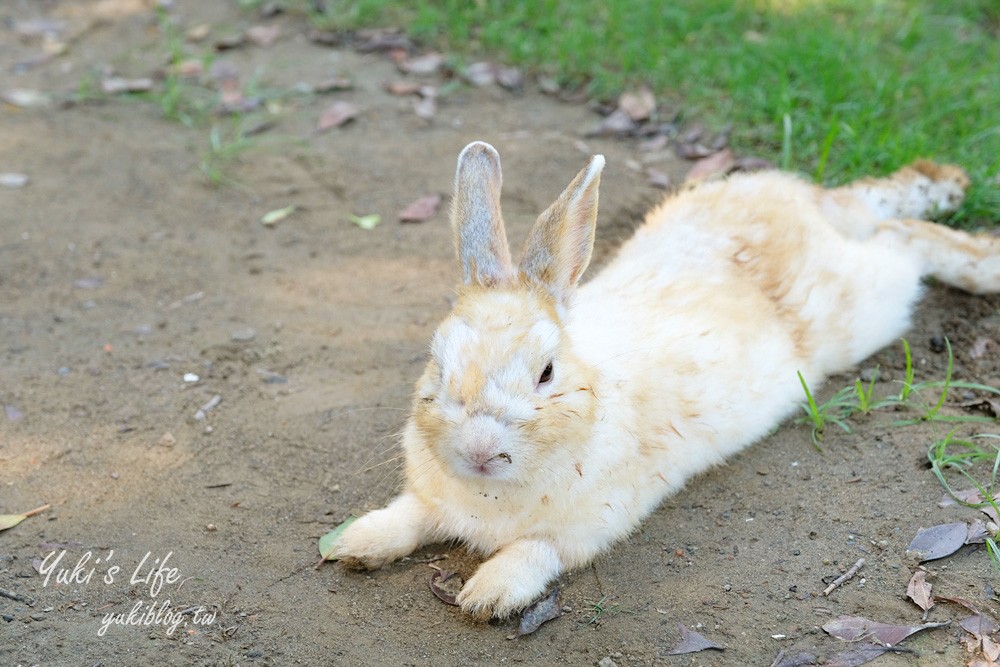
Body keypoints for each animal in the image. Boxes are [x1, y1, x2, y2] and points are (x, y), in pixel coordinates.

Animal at [330, 140, 1000, 620]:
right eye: (439, 364)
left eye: (546, 372)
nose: (478, 451)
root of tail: (812, 206)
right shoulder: (430, 500)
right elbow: (408, 516)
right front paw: (354, 545)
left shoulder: (586, 528)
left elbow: (533, 552)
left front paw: (486, 595)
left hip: (872, 299)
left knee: (901, 237)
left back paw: (980, 259)